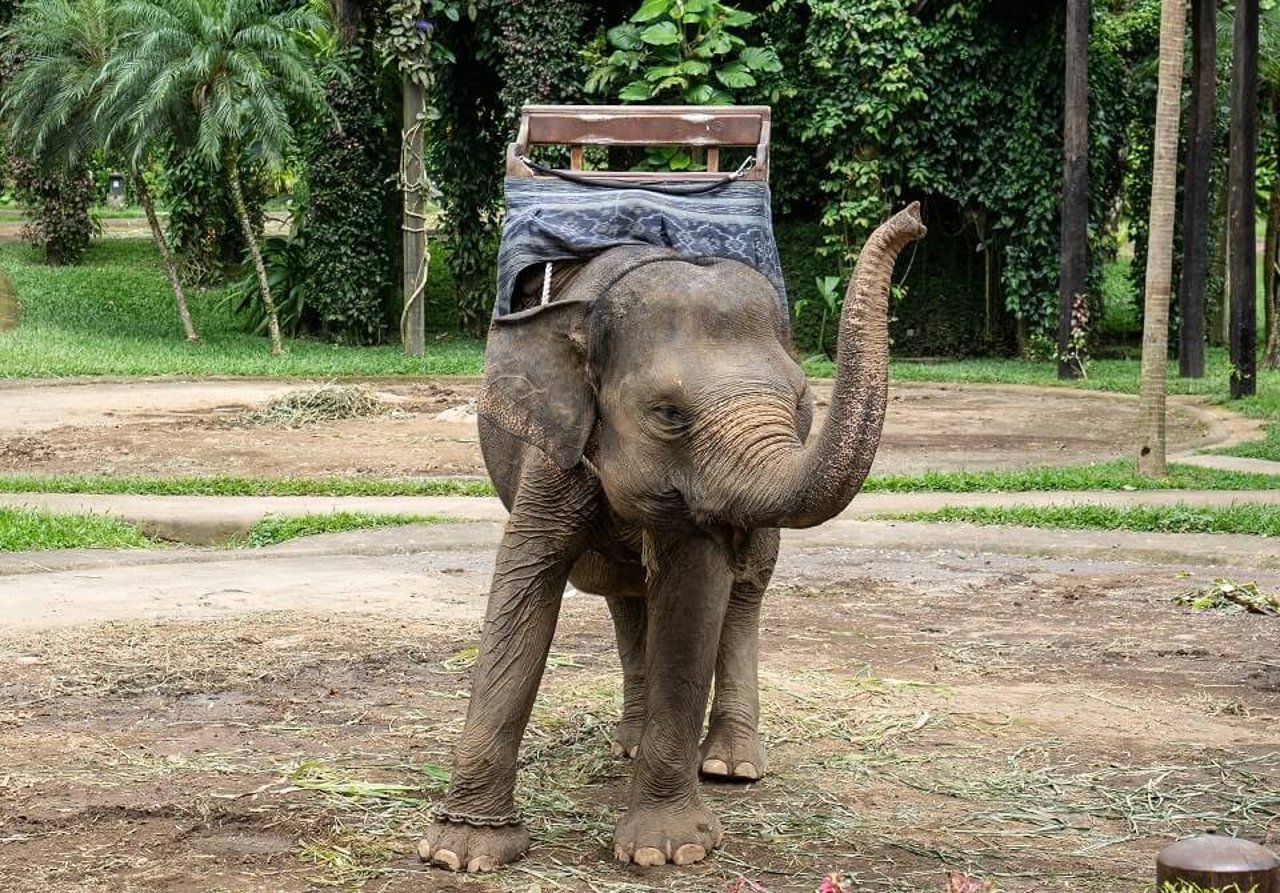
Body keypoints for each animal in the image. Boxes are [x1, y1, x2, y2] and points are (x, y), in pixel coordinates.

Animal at [419, 202, 931, 869]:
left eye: (800, 403)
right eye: (668, 414)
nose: (915, 218)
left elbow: (693, 600)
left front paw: (665, 851)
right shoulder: (554, 453)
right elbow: (524, 584)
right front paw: (460, 854)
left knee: (744, 594)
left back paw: (731, 765)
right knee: (626, 598)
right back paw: (631, 744)